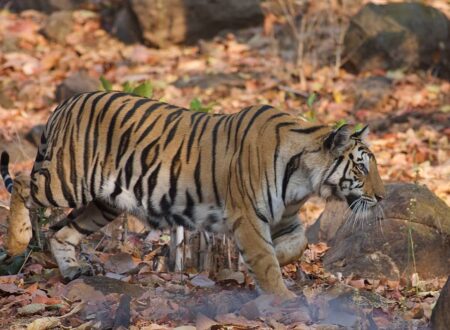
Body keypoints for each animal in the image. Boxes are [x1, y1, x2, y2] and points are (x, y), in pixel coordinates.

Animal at [1, 90, 384, 300]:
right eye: (362, 168)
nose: (382, 197)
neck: (304, 178)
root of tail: (66, 102)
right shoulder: (248, 216)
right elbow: (265, 261)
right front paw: (283, 296)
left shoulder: (284, 219)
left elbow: (295, 246)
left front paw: (253, 267)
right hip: (68, 180)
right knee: (21, 184)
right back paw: (18, 241)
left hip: (105, 202)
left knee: (63, 232)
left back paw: (72, 270)